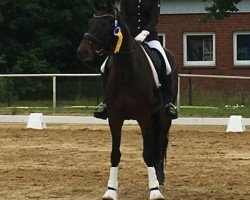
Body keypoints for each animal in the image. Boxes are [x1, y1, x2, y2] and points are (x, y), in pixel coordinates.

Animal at [77, 0, 177, 199]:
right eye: (90, 22)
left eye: (106, 24)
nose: (82, 52)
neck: (127, 70)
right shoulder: (115, 117)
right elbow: (115, 154)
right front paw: (110, 190)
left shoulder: (144, 117)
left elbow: (148, 154)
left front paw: (154, 191)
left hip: (163, 117)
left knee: (160, 143)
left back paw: (160, 179)